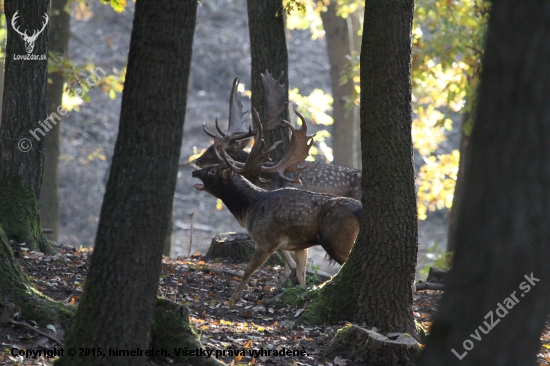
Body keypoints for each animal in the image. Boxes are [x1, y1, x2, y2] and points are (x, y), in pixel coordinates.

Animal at [194, 101, 362, 304]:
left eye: (212, 171)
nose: (195, 169)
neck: (249, 207)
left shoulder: (265, 240)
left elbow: (248, 269)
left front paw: (234, 298)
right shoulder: (300, 245)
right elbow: (300, 273)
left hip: (337, 241)